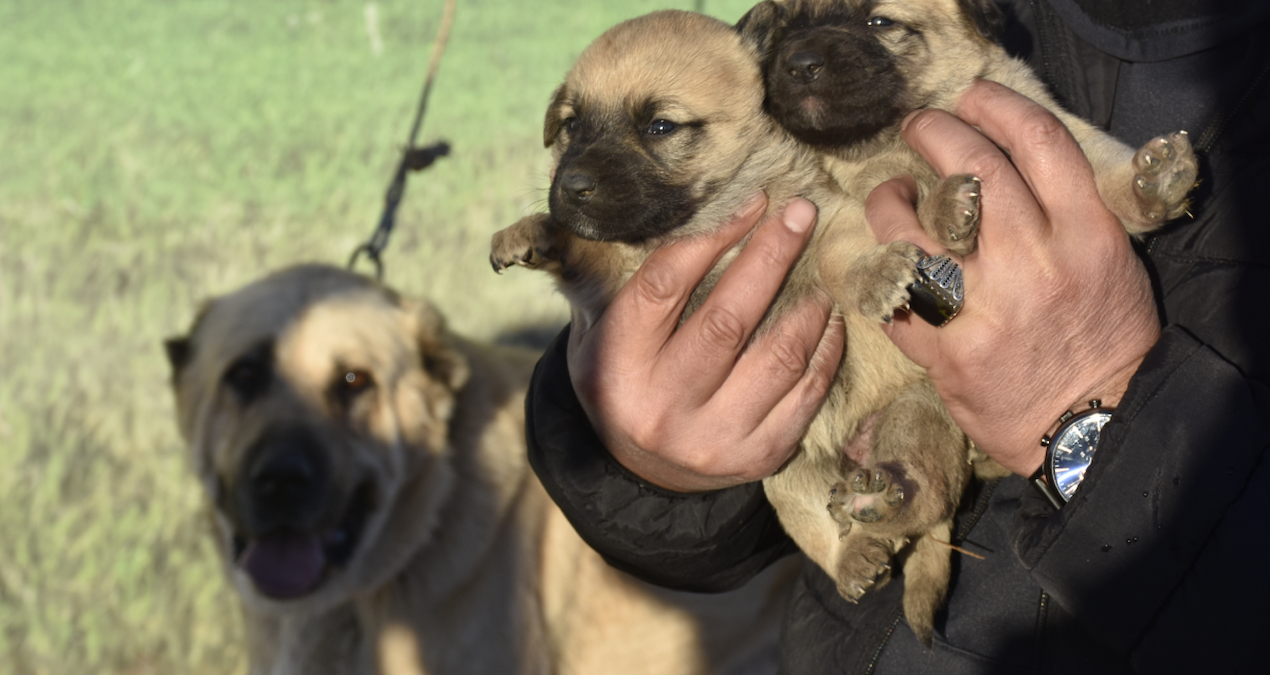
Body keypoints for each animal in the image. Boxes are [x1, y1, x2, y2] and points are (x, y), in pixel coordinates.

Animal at [490, 6, 1193, 650]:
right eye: (571, 126)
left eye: (659, 127)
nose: (571, 185)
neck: (703, 228)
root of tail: (857, 455)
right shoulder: (608, 286)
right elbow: (584, 249)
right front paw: (530, 232)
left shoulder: (830, 219)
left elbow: (852, 257)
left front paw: (887, 266)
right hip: (785, 475)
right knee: (837, 533)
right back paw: (855, 549)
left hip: (914, 421)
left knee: (922, 507)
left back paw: (882, 500)